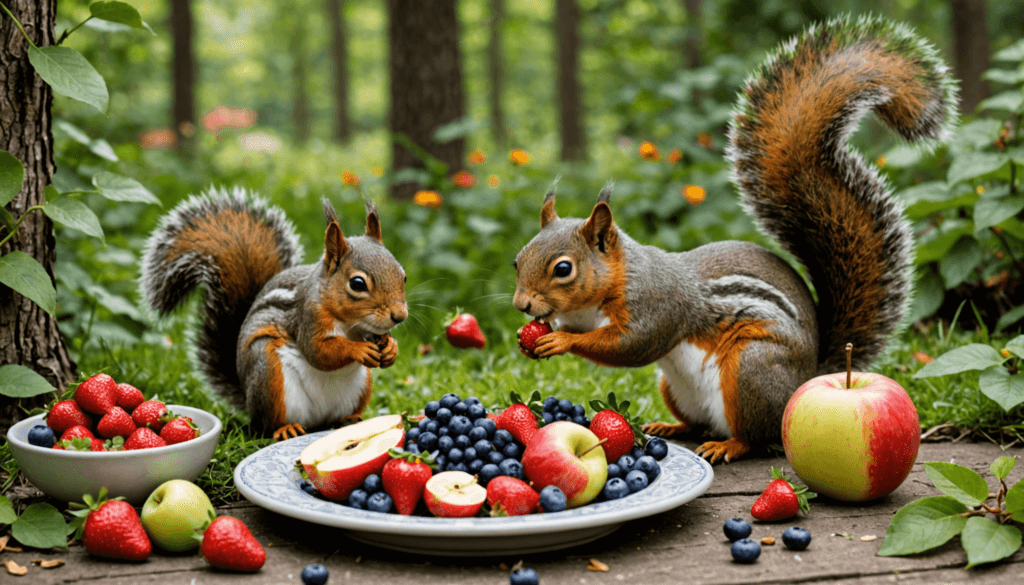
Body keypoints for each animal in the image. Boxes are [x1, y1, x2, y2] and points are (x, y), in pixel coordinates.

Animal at [140, 187, 408, 441]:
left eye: (403, 276)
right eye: (357, 284)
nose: (400, 316)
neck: (351, 322)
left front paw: (392, 348)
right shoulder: (308, 315)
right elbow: (318, 352)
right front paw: (358, 349)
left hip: (361, 386)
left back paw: (352, 420)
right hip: (268, 373)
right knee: (269, 424)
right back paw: (287, 429)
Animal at [512, 16, 958, 463]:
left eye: (563, 269)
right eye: (518, 260)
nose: (521, 304)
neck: (600, 294)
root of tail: (809, 378)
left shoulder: (658, 305)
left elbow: (630, 346)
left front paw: (562, 340)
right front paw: (530, 337)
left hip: (751, 370)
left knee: (755, 436)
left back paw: (726, 445)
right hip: (674, 387)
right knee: (698, 422)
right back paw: (669, 426)